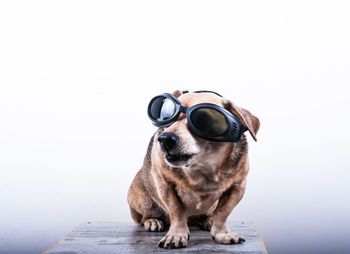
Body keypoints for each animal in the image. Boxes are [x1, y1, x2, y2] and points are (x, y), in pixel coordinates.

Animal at [127, 90, 258, 249]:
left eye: (204, 119)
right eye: (166, 117)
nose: (165, 139)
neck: (201, 168)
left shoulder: (237, 187)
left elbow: (223, 212)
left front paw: (222, 233)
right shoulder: (165, 184)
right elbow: (176, 210)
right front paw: (176, 235)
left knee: (210, 214)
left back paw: (208, 220)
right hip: (144, 201)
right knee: (143, 217)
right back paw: (153, 221)